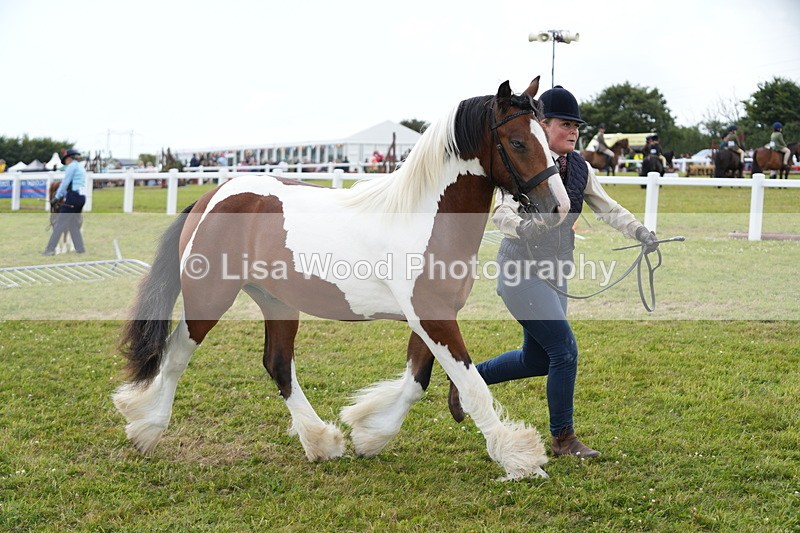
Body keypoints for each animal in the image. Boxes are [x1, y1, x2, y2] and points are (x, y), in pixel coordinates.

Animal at [112, 76, 570, 481]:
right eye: (517, 142)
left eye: (547, 140)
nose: (559, 207)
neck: (424, 218)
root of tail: (212, 196)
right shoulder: (433, 317)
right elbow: (470, 384)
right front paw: (519, 459)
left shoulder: (431, 317)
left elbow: (416, 382)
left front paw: (369, 433)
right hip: (209, 298)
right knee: (176, 355)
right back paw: (146, 429)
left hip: (277, 302)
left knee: (278, 365)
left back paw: (321, 442)